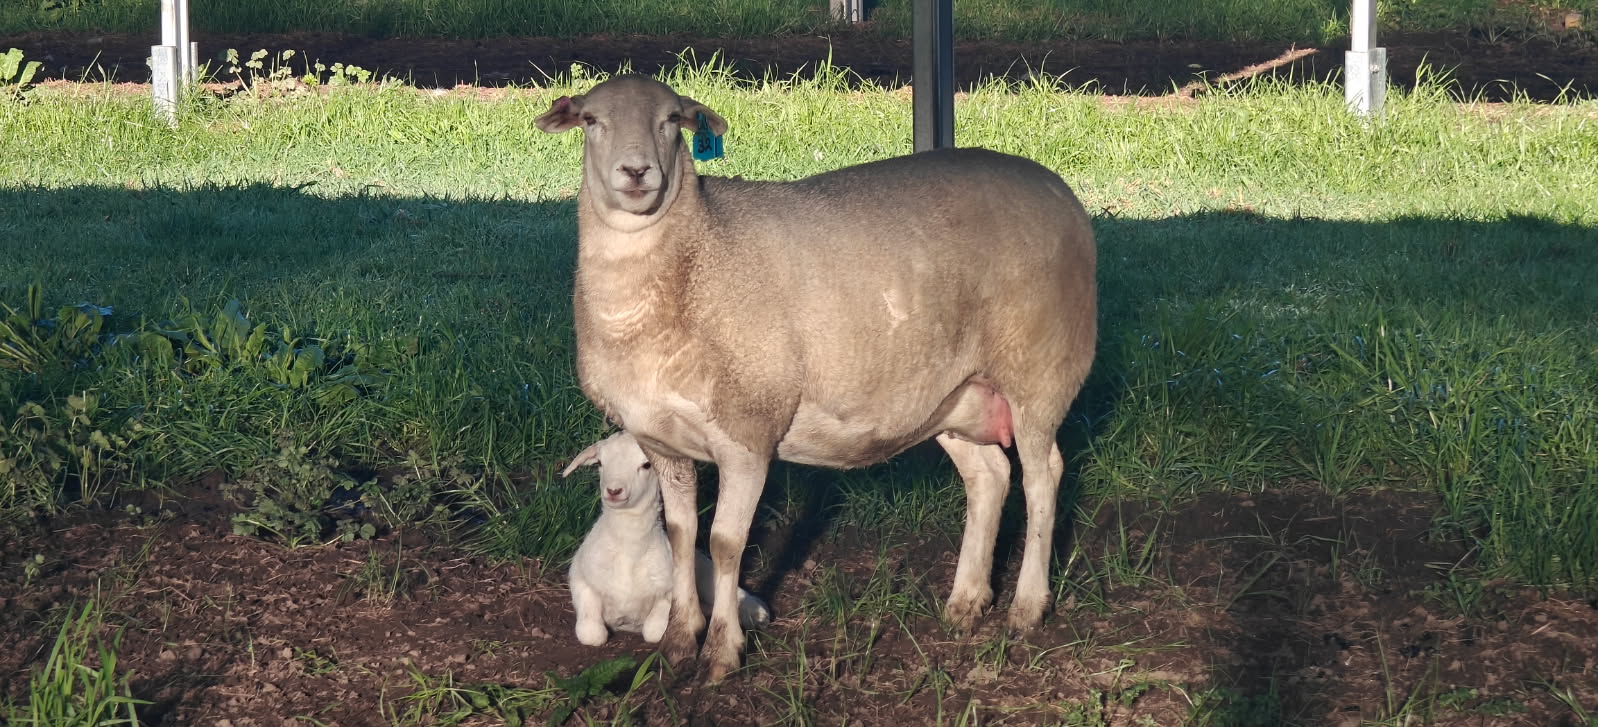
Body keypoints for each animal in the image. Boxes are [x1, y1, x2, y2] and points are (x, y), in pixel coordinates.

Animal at [563, 430, 771, 647]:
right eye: (600, 463)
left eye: (646, 465)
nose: (613, 491)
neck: (629, 550)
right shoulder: (580, 579)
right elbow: (592, 634)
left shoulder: (668, 592)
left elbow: (654, 630)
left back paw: (757, 612)